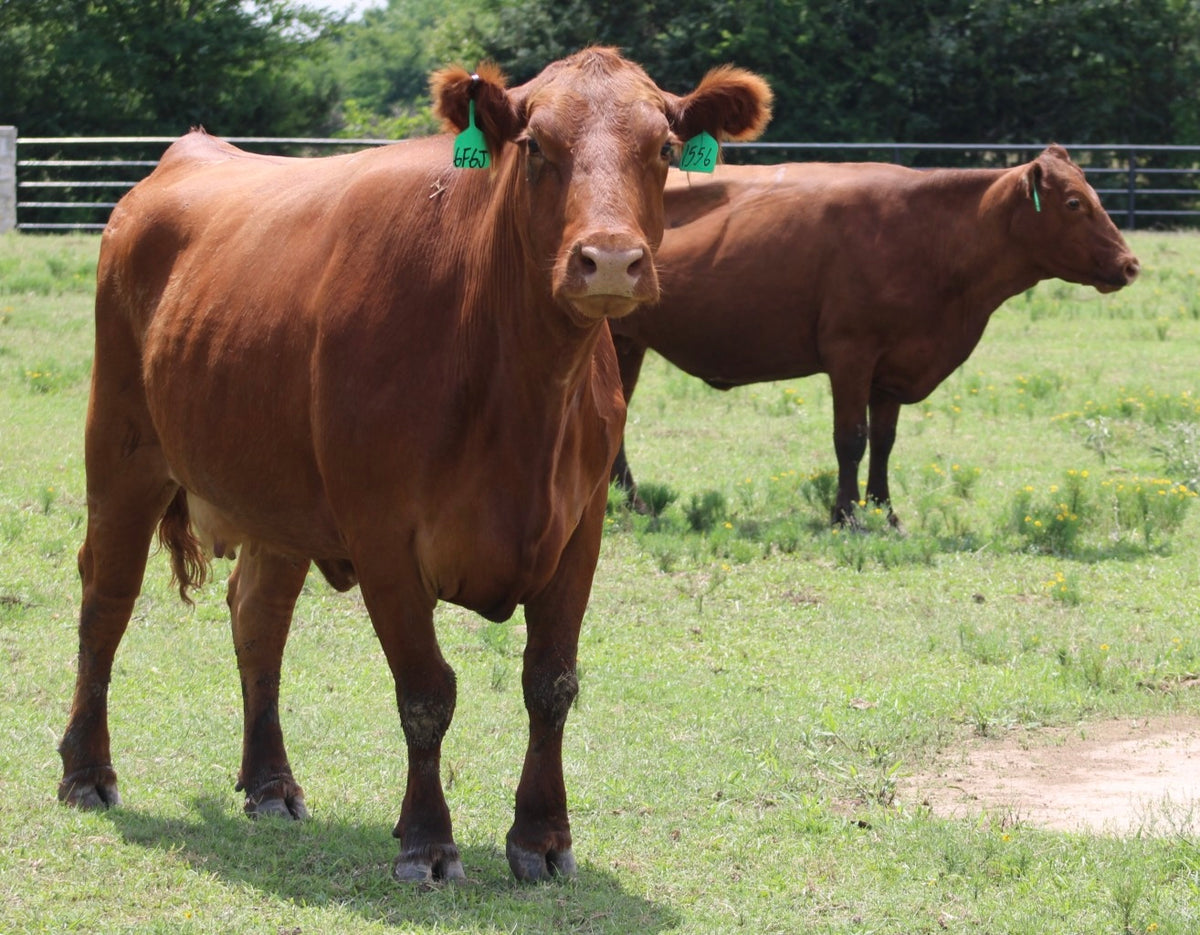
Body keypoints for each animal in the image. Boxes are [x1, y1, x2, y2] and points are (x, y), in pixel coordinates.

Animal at [56, 48, 772, 884]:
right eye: (535, 147)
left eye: (663, 148)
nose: (611, 261)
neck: (520, 391)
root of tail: (187, 156)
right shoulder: (383, 536)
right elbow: (427, 691)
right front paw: (428, 841)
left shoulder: (581, 528)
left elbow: (550, 683)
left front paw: (542, 837)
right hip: (123, 447)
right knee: (106, 602)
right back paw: (86, 772)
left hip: (276, 495)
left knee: (258, 617)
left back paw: (271, 783)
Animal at [609, 146, 1140, 524]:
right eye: (1074, 202)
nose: (1130, 264)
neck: (932, 239)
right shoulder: (851, 353)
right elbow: (851, 438)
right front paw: (846, 515)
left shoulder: (895, 366)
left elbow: (884, 440)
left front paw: (885, 511)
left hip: (628, 343)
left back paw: (630, 502)